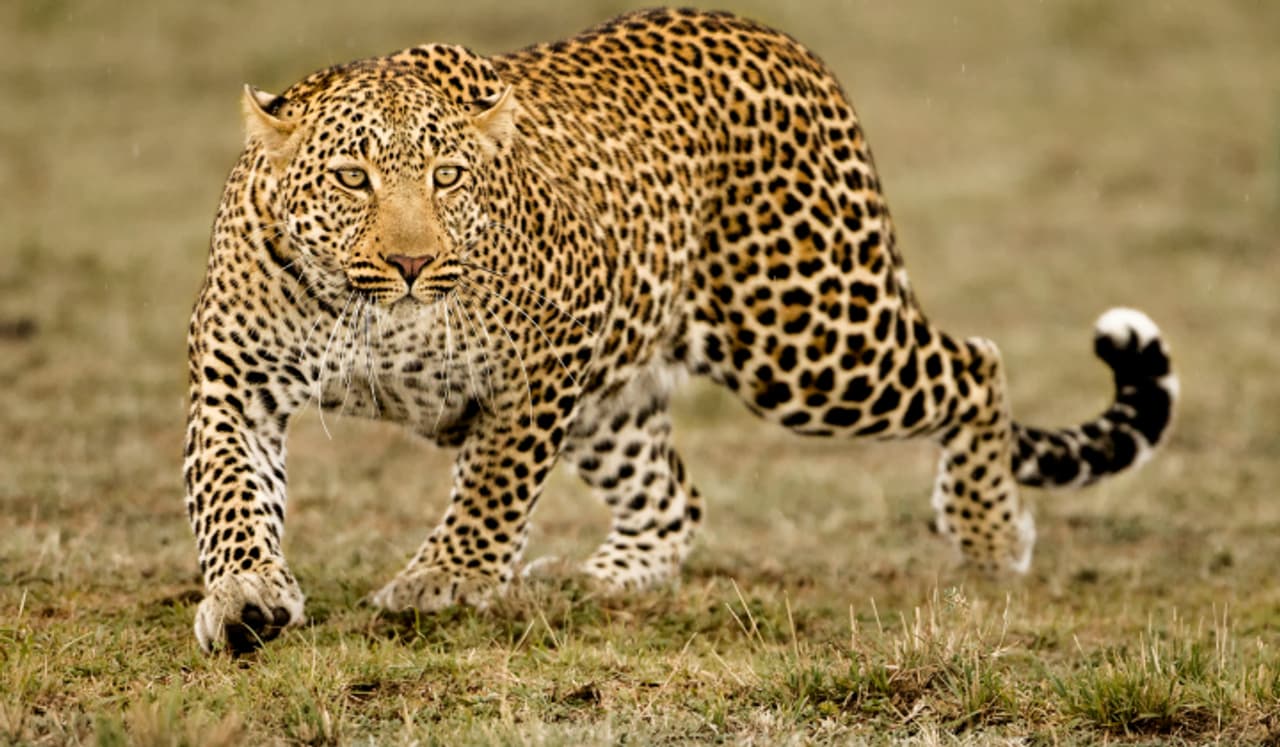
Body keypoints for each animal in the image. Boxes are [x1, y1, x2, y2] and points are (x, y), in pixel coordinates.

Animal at [184, 8, 1178, 653]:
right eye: (352, 178)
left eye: (449, 176)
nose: (412, 263)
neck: (373, 318)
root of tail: (778, 39)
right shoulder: (234, 380)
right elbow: (231, 496)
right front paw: (245, 596)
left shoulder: (545, 358)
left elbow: (493, 485)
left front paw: (447, 579)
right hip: (626, 392)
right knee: (673, 496)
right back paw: (598, 578)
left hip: (810, 336)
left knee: (976, 364)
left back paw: (989, 534)